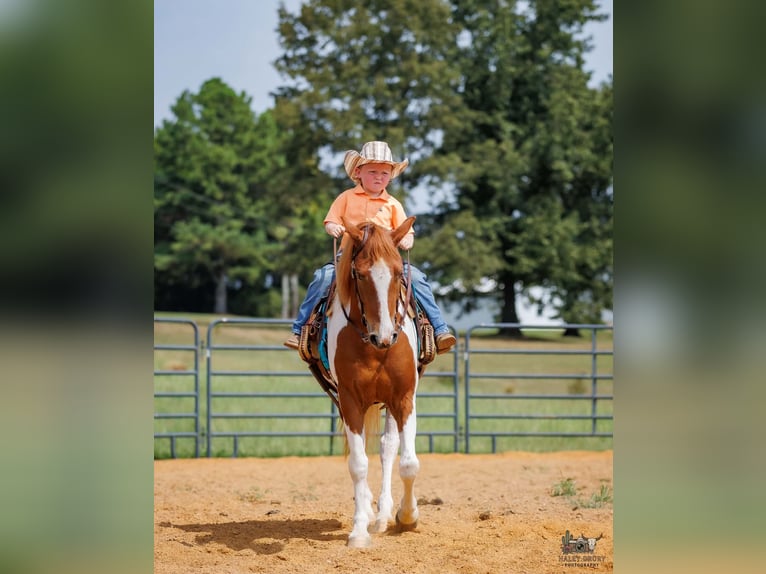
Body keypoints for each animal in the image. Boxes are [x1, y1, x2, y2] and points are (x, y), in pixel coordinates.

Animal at [327, 215, 420, 548]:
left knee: (388, 448)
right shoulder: (350, 401)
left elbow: (408, 463)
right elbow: (358, 464)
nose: (385, 336)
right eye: (360, 274)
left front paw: (408, 517)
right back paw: (369, 512)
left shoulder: (404, 398)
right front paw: (358, 531)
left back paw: (383, 515)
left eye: (397, 272)